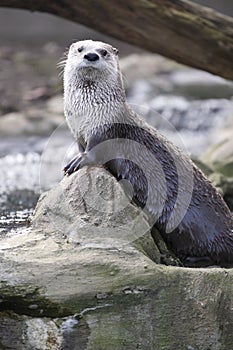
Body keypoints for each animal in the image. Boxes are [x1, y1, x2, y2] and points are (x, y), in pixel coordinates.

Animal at [62, 39, 233, 266]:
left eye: (104, 52)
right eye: (80, 49)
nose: (91, 55)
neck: (89, 112)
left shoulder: (106, 129)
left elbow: (95, 152)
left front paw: (77, 162)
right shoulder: (79, 133)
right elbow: (83, 148)